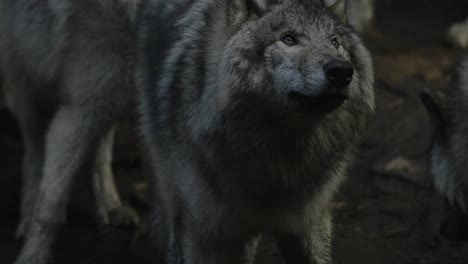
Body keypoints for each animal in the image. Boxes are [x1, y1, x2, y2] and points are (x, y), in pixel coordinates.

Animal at [0, 1, 141, 262]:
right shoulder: (76, 112)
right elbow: (50, 207)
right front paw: (34, 255)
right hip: (28, 85)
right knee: (34, 150)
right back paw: (27, 215)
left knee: (99, 151)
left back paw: (110, 205)